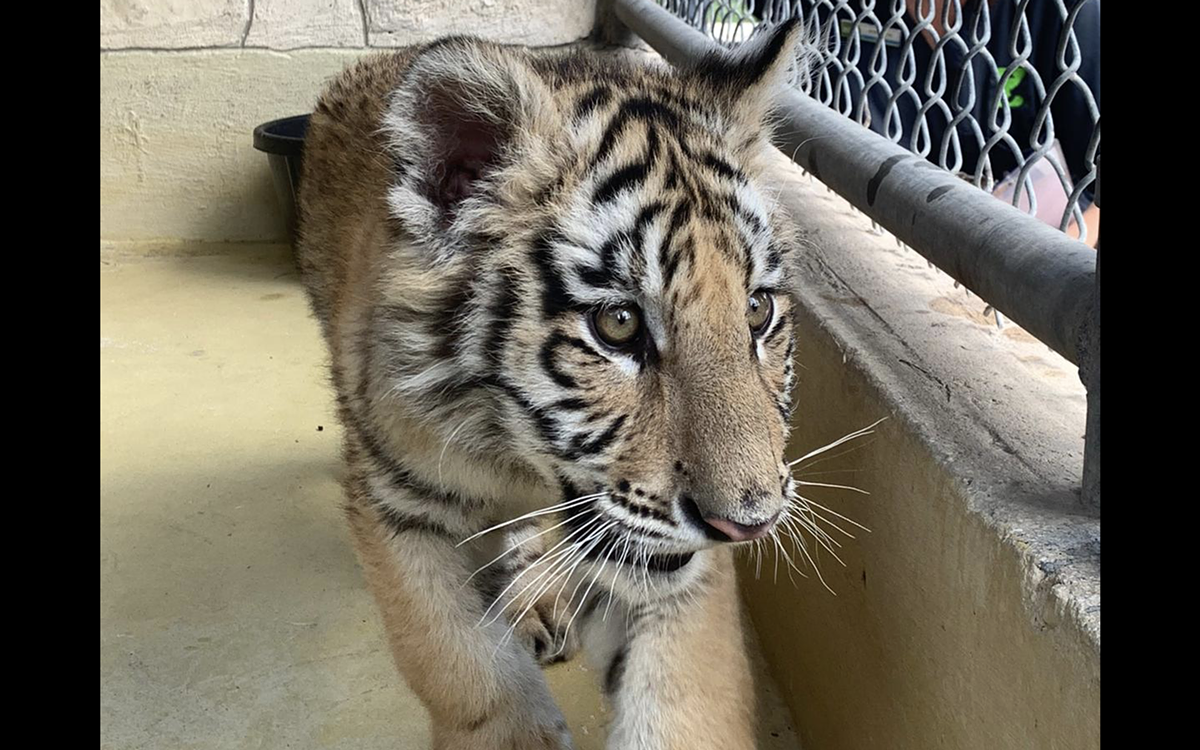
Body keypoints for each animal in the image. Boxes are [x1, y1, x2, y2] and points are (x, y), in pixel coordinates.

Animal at [296, 18, 805, 750]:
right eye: (618, 324)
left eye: (758, 310)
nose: (746, 526)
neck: (517, 460)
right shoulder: (395, 500)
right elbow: (454, 658)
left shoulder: (683, 577)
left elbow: (685, 702)